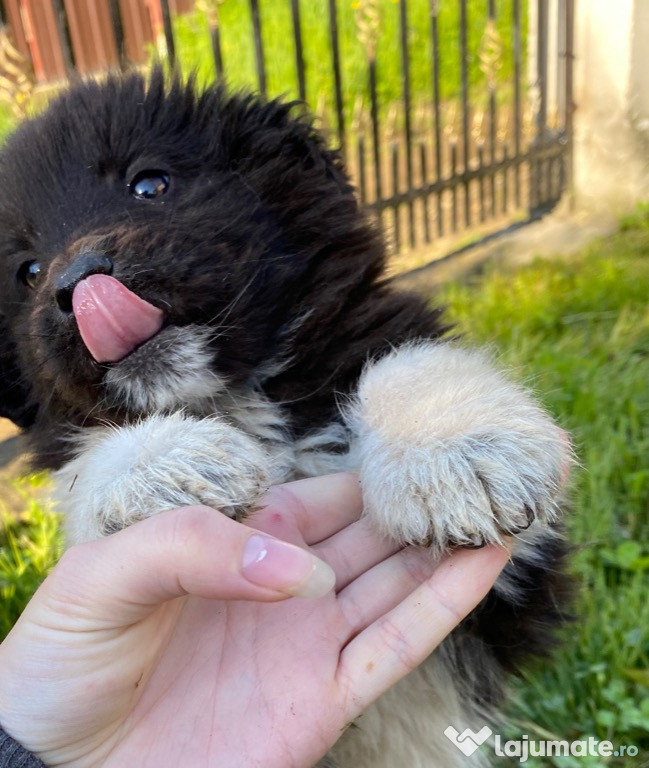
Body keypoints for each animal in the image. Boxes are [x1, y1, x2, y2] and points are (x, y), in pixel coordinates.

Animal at [0, 70, 568, 760]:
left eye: (150, 184)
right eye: (27, 271)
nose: (79, 279)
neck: (237, 394)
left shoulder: (513, 589)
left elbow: (405, 363)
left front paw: (453, 450)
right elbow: (90, 458)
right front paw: (164, 466)